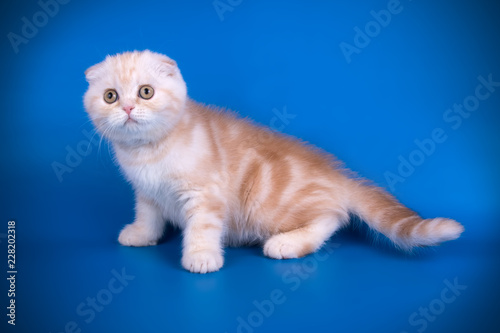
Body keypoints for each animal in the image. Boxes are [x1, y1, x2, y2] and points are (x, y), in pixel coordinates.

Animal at [83, 50, 464, 272]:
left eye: (146, 92)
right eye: (110, 96)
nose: (127, 108)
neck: (148, 152)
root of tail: (336, 173)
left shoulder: (205, 194)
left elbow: (202, 228)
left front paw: (201, 257)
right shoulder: (146, 192)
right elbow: (148, 214)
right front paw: (142, 234)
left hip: (267, 203)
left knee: (334, 215)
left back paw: (288, 243)